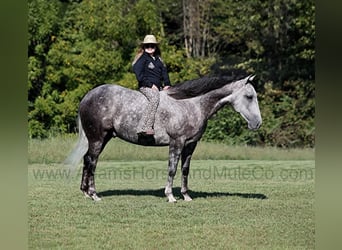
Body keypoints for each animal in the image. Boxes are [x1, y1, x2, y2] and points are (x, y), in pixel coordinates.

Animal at [65, 73, 262, 201]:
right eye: (249, 96)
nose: (257, 123)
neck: (190, 104)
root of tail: (87, 97)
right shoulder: (177, 142)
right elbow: (172, 169)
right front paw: (170, 196)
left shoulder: (190, 145)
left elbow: (185, 170)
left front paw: (186, 196)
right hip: (97, 139)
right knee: (92, 161)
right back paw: (94, 194)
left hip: (102, 138)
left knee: (87, 160)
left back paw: (85, 192)